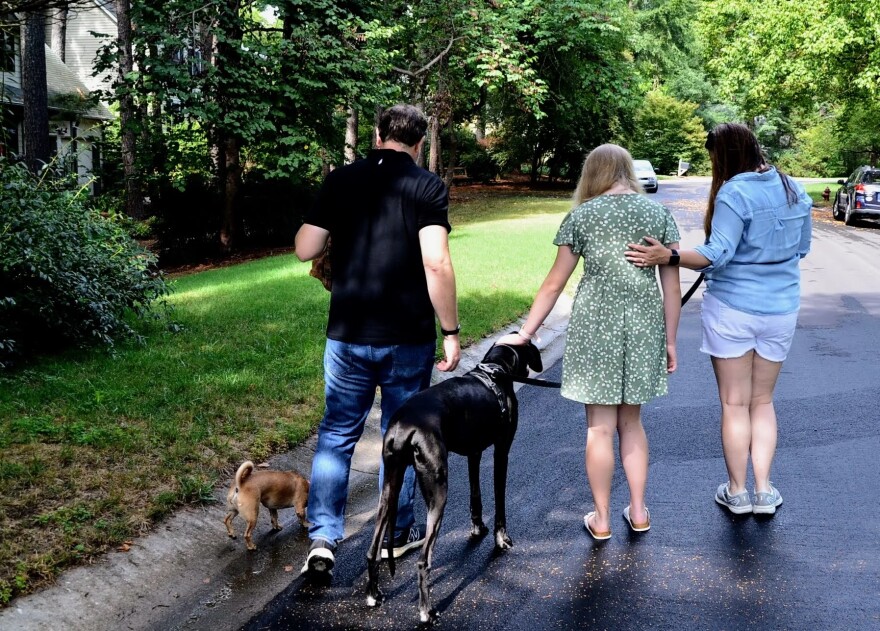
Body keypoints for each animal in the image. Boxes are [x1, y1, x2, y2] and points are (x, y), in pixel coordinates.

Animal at [364, 340, 544, 624]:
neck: (495, 368)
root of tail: (404, 427)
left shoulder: (474, 452)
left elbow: (475, 495)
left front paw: (478, 528)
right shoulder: (501, 451)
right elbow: (500, 501)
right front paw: (501, 539)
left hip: (389, 488)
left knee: (372, 550)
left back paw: (373, 595)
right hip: (438, 491)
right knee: (423, 561)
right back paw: (427, 612)